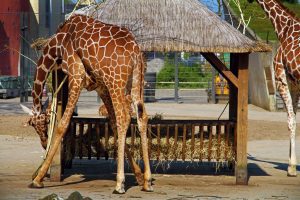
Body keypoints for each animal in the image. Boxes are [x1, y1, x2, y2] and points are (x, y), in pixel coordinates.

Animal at [22, 14, 152, 193]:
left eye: (40, 125)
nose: (43, 142)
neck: (57, 45)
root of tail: (135, 52)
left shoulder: (76, 75)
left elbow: (63, 125)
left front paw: (37, 179)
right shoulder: (100, 87)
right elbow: (112, 124)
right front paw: (138, 176)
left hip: (116, 82)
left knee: (124, 118)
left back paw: (119, 184)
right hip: (136, 82)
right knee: (142, 117)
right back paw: (147, 181)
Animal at [248, 0, 300, 175]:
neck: (283, 27)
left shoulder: (280, 78)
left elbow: (291, 120)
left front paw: (291, 167)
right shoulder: (293, 83)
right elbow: (293, 117)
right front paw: (290, 163)